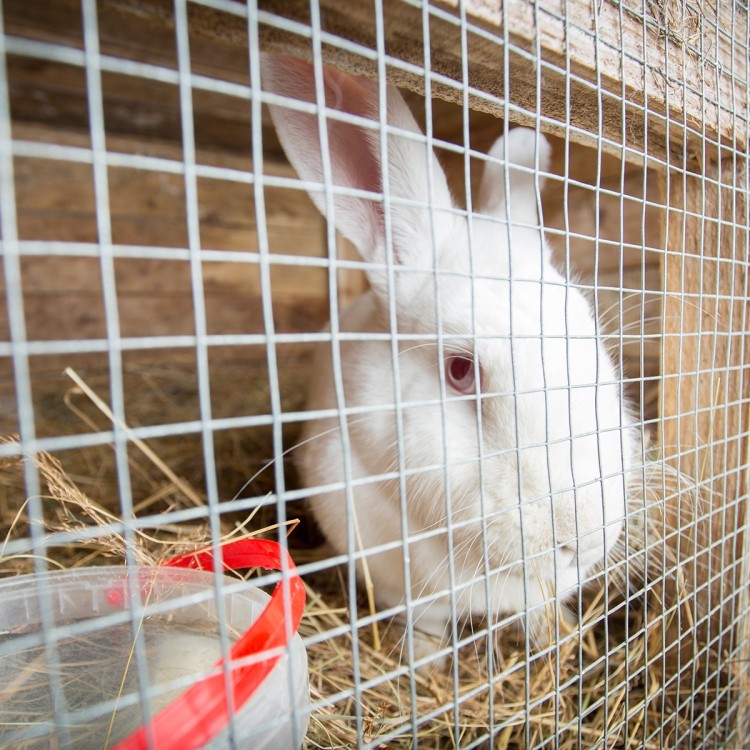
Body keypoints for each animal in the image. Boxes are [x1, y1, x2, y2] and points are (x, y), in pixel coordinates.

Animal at [261, 53, 640, 663]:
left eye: (591, 343)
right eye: (461, 370)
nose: (582, 536)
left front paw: (554, 629)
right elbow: (427, 625)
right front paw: (421, 662)